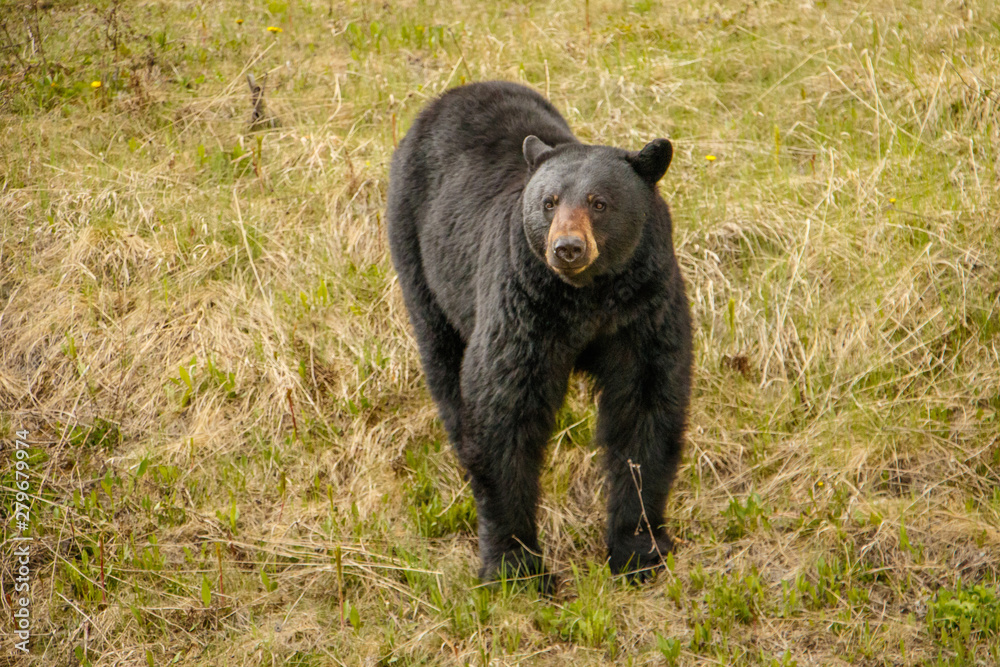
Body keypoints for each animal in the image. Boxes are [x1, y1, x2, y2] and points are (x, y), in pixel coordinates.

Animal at [386, 81, 692, 588]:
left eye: (599, 202)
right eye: (548, 202)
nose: (567, 248)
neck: (588, 300)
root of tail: (455, 92)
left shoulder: (644, 308)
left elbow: (644, 408)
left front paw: (639, 549)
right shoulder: (524, 308)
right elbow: (504, 409)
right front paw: (515, 565)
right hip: (420, 260)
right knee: (445, 366)